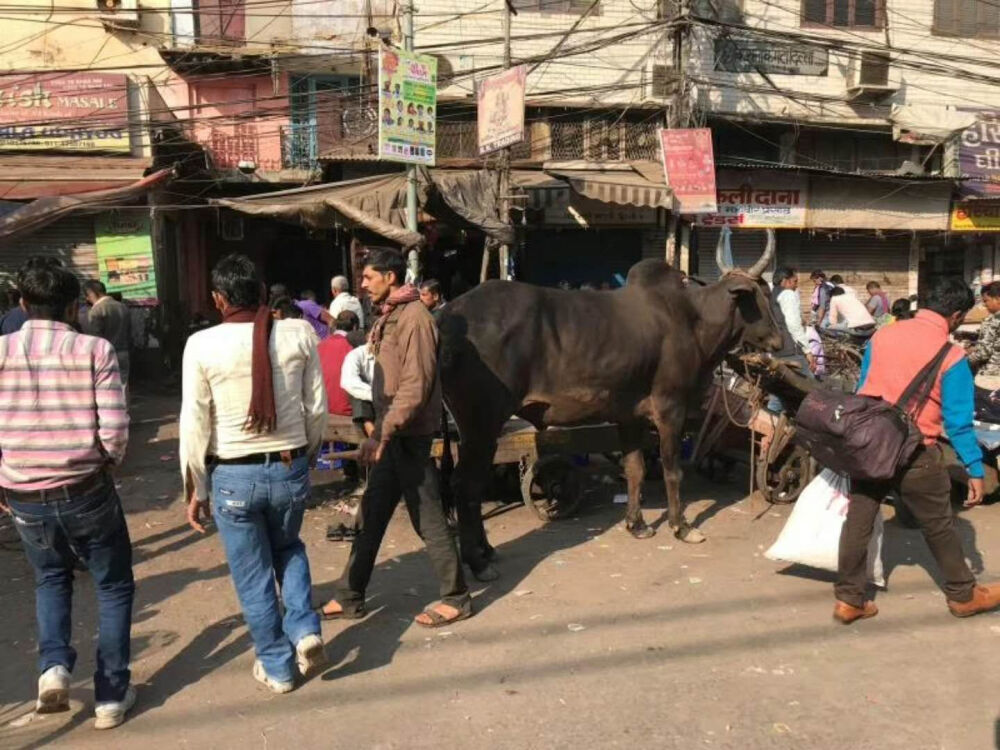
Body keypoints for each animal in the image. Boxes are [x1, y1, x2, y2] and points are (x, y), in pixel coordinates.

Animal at [438, 231, 780, 580]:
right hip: (480, 425)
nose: (779, 341)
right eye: (762, 294)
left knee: (471, 485)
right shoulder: (671, 409)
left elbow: (634, 469)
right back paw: (478, 561)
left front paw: (637, 524)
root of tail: (446, 315)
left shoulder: (629, 416)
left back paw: (487, 551)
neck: (693, 321)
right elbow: (672, 471)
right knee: (465, 485)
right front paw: (681, 527)